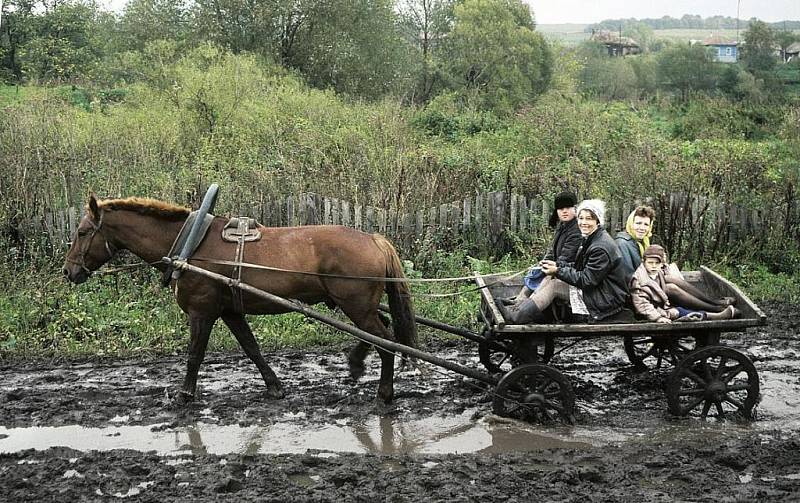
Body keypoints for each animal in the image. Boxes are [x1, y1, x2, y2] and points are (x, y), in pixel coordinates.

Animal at [61, 195, 418, 404]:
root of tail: (373, 239)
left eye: (82, 232)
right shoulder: (230, 311)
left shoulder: (202, 311)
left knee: (386, 340)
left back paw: (384, 393)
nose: (68, 271)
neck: (191, 245)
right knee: (379, 331)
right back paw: (357, 363)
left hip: (356, 305)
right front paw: (274, 386)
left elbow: (195, 355)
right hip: (361, 306)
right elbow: (251, 348)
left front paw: (184, 394)